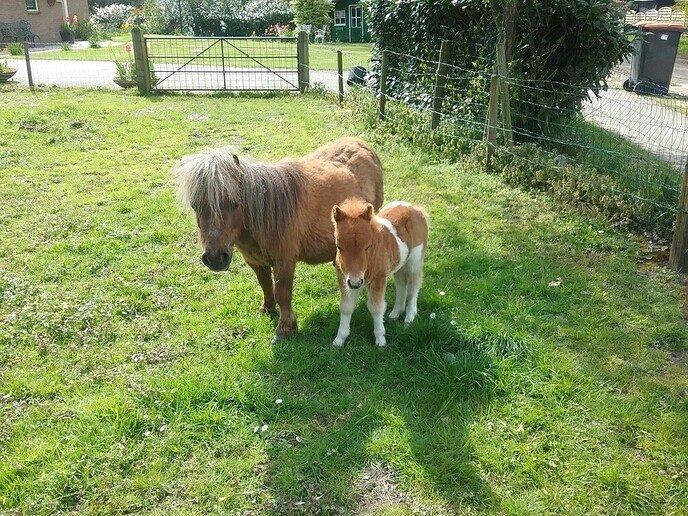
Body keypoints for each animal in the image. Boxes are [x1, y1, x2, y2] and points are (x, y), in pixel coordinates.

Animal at [172, 137, 384, 341]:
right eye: (195, 206)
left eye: (235, 204)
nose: (215, 259)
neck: (266, 213)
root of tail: (361, 143)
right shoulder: (255, 261)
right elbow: (265, 285)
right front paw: (267, 309)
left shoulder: (285, 261)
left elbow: (282, 293)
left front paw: (285, 328)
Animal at [331, 198, 428, 348]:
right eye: (338, 246)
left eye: (368, 246)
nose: (355, 283)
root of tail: (415, 207)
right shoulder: (344, 279)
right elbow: (346, 307)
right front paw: (339, 340)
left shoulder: (378, 279)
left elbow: (376, 308)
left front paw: (380, 340)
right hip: (400, 263)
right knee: (401, 283)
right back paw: (395, 313)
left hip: (415, 260)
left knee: (414, 284)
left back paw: (409, 317)